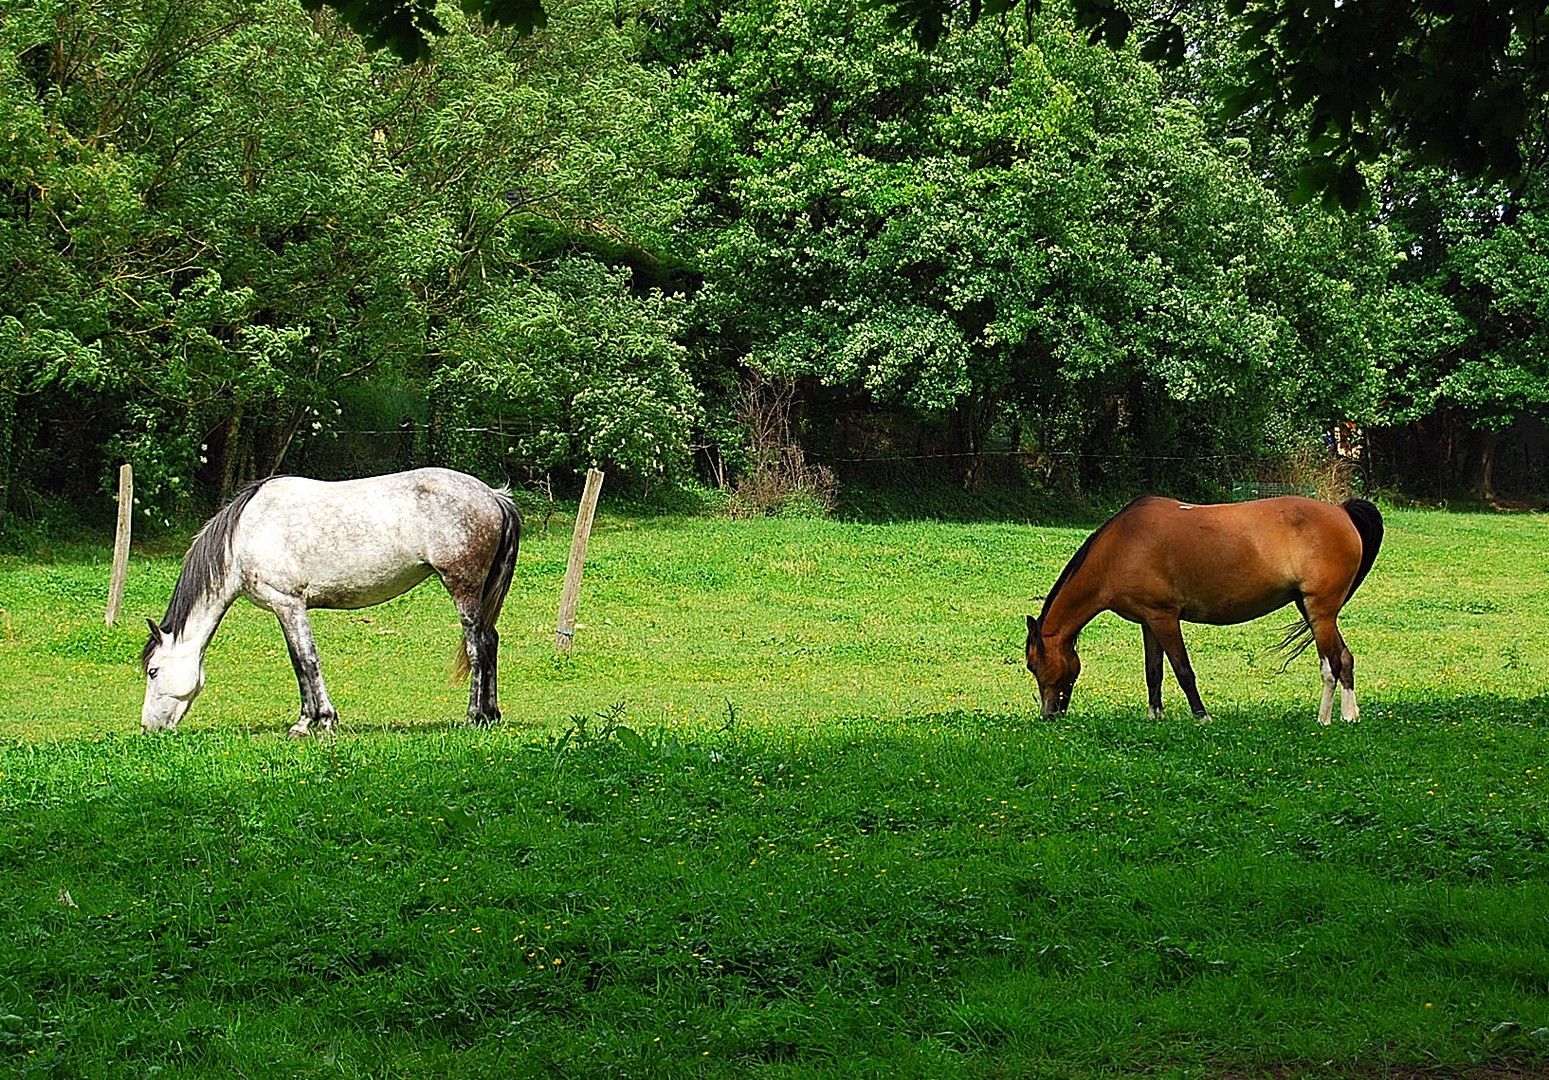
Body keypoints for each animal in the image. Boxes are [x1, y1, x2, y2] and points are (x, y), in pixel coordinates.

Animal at [137, 467, 520, 737]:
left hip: (463, 588)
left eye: (153, 671)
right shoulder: (285, 608)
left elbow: (307, 661)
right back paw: (491, 715)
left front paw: (317, 721)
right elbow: (299, 662)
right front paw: (309, 721)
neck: (243, 535)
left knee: (476, 648)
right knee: (490, 641)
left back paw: (473, 716)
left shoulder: (289, 604)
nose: (149, 727)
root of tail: (493, 496)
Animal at [1028, 495, 1381, 725]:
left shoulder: (1165, 618)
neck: (1121, 547)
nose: (1048, 715)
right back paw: (1350, 715)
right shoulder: (1148, 621)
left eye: (1033, 665)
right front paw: (1155, 715)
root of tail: (1341, 511)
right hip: (1313, 610)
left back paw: (1324, 719)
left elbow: (1183, 670)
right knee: (1345, 658)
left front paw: (1202, 716)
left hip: (1319, 611)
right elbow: (1153, 671)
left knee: (1331, 664)